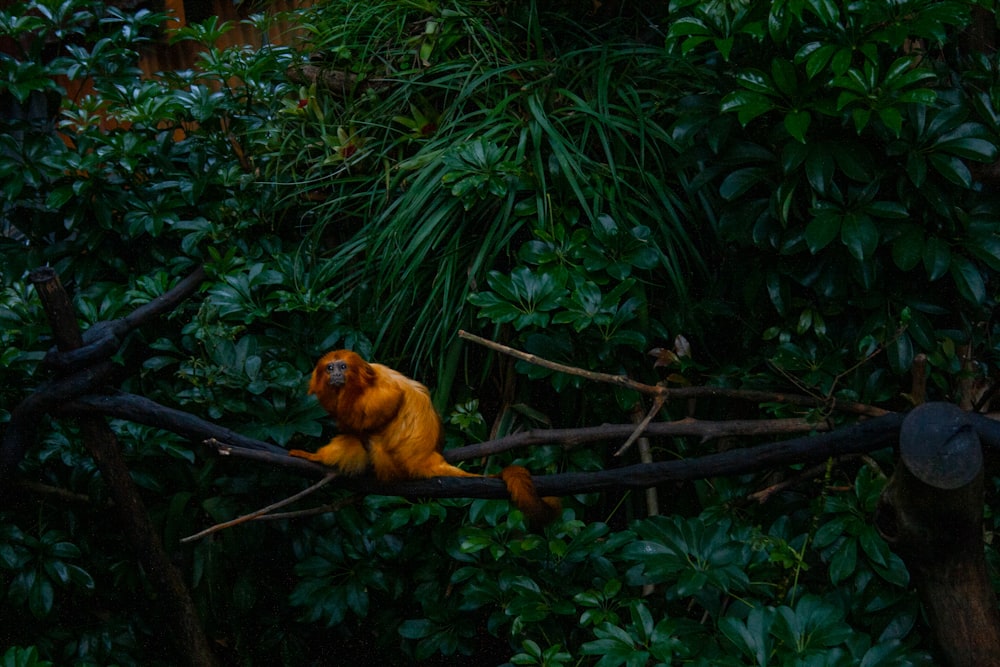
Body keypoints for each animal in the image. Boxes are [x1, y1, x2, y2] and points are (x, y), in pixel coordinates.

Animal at [288, 350, 564, 528]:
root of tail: (428, 458)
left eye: (343, 367)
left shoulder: (376, 393)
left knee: (364, 440)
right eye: (330, 367)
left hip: (393, 463)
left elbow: (392, 401)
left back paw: (318, 458)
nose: (335, 375)